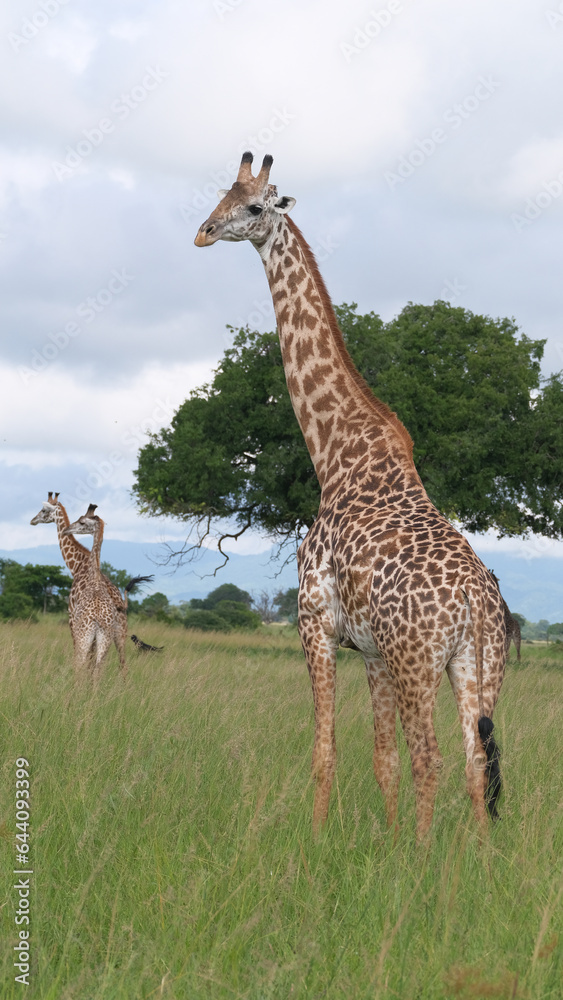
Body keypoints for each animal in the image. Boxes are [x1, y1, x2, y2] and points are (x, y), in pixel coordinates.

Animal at [194, 152, 507, 841]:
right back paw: (475, 859)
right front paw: (383, 845)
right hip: (479, 665)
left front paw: (316, 842)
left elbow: (326, 749)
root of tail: (475, 602)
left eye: (253, 206)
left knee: (433, 758)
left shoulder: (315, 620)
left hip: (421, 660)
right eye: (220, 194)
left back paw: (426, 862)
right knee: (474, 760)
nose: (203, 232)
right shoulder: (370, 649)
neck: (333, 453)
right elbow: (380, 757)